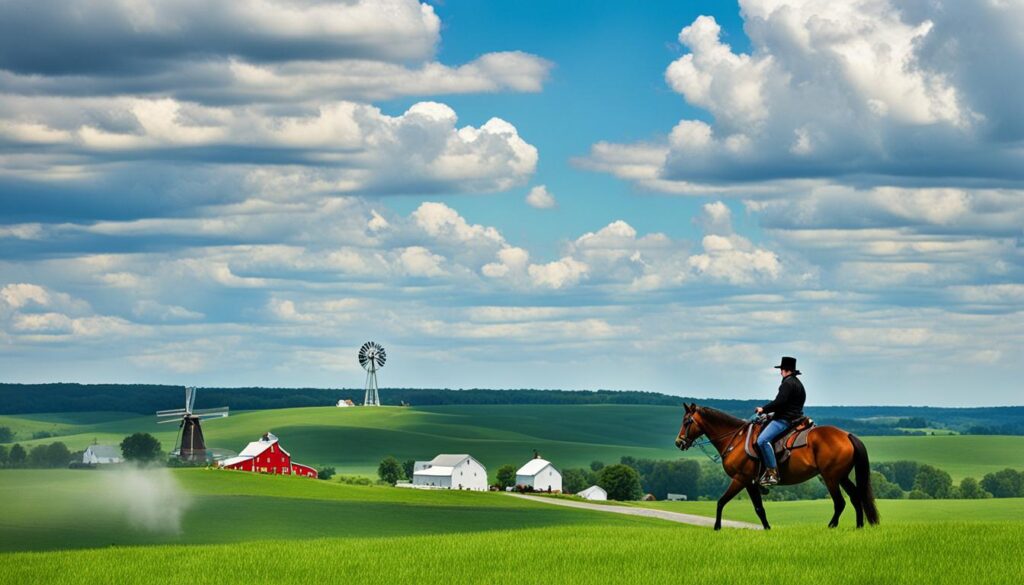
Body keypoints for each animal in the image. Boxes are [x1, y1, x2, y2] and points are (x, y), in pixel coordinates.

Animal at [671, 403, 880, 532]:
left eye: (687, 421)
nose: (679, 442)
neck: (735, 439)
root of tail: (847, 435)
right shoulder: (751, 483)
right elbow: (759, 508)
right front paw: (767, 528)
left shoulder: (740, 479)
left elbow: (721, 502)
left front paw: (716, 527)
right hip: (841, 477)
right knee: (855, 497)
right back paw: (859, 526)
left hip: (830, 478)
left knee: (840, 502)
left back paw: (830, 526)